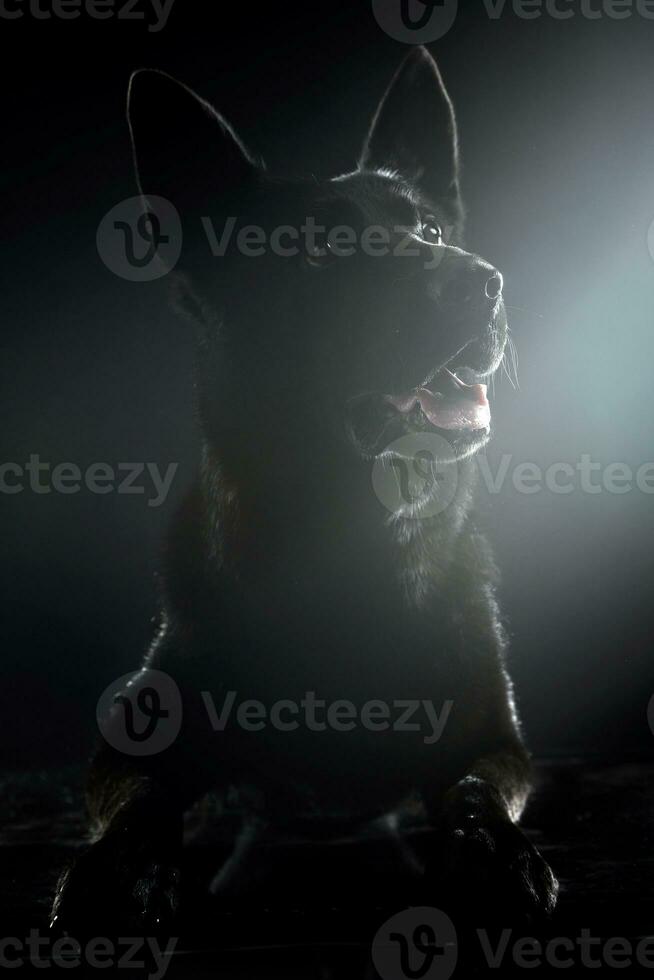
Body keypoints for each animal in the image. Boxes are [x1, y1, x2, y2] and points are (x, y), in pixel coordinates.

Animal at [53, 46, 560, 936]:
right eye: (321, 249)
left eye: (430, 229)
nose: (484, 282)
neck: (348, 551)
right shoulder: (133, 739)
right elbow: (141, 798)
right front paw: (118, 872)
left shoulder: (491, 734)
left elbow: (474, 788)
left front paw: (500, 856)